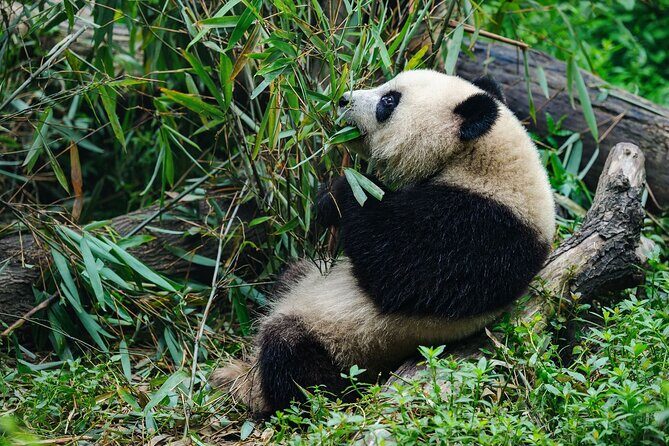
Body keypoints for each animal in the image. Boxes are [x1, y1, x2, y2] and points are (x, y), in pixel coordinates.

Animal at [211, 69, 556, 415]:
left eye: (389, 101)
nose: (342, 99)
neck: (481, 160)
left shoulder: (484, 229)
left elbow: (400, 272)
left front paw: (340, 192)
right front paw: (327, 199)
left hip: (346, 346)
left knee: (292, 356)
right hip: (305, 281)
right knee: (290, 277)